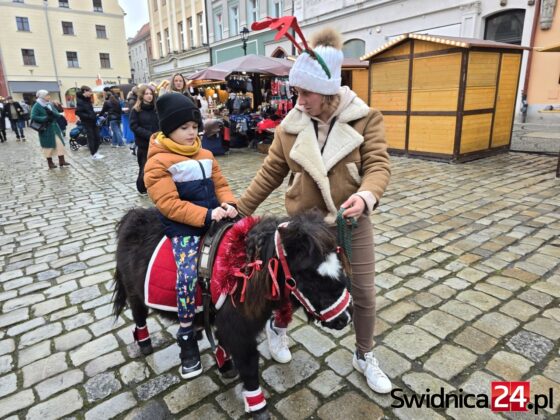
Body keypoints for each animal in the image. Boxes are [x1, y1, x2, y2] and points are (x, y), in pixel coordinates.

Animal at [112, 207, 353, 419]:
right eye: (308, 275)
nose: (345, 317)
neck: (244, 273)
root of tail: (131, 216)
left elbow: (224, 346)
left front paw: (225, 365)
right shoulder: (239, 333)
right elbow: (249, 367)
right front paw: (258, 408)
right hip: (135, 295)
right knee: (140, 317)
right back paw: (147, 345)